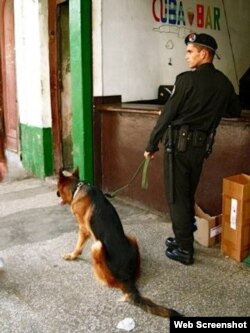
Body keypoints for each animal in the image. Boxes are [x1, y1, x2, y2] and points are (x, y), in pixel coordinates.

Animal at [57, 169, 182, 316]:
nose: (57, 194)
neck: (77, 188)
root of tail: (127, 277)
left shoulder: (83, 229)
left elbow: (78, 246)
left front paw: (72, 255)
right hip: (132, 238)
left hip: (97, 247)